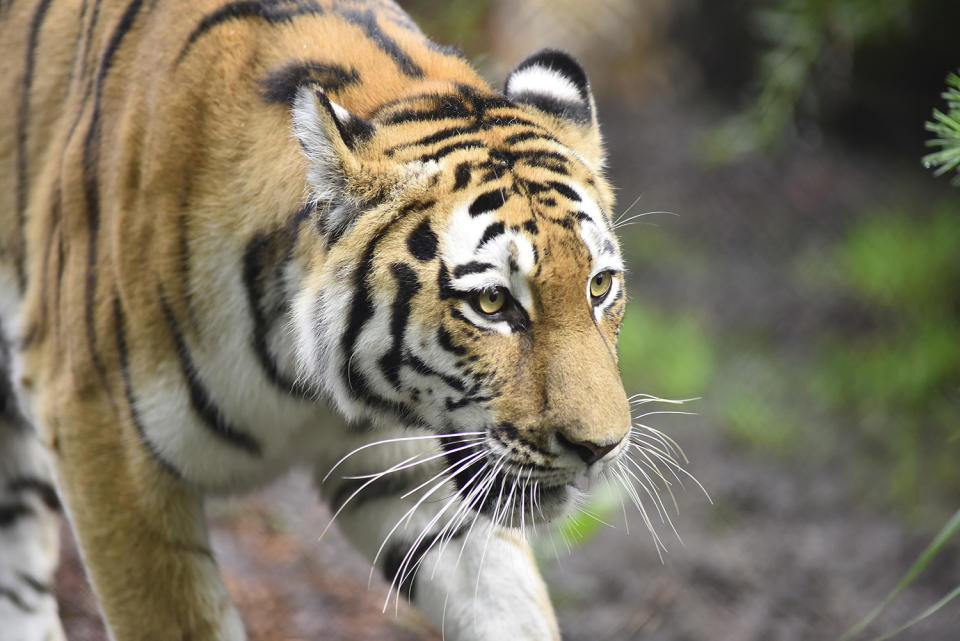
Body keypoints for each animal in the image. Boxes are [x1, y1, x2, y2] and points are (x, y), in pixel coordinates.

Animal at [0, 0, 668, 636]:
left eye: (600, 286)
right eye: (491, 303)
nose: (600, 448)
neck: (307, 386)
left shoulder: (409, 471)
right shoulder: (103, 439)